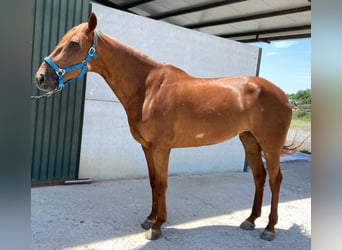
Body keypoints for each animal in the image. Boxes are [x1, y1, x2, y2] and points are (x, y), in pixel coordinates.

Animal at [34, 12, 296, 241]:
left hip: (270, 146)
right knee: (259, 176)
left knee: (275, 180)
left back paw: (269, 229)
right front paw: (150, 218)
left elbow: (162, 183)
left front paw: (158, 226)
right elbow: (153, 182)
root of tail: (283, 95)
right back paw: (250, 220)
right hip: (249, 140)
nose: (41, 78)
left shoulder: (161, 148)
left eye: (74, 44)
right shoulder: (147, 147)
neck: (148, 88)